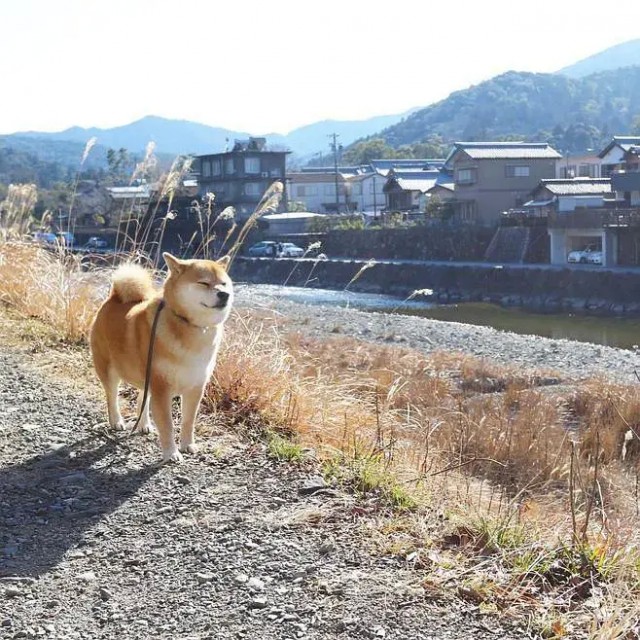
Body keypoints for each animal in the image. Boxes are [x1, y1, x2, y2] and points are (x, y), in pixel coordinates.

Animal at [89, 252, 231, 462]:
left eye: (224, 283)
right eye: (204, 283)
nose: (224, 294)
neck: (189, 326)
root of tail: (113, 298)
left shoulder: (195, 387)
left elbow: (188, 421)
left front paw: (188, 445)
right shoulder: (162, 389)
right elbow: (168, 425)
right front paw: (171, 453)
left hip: (147, 375)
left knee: (142, 399)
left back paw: (143, 424)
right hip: (110, 371)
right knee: (112, 398)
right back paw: (117, 421)